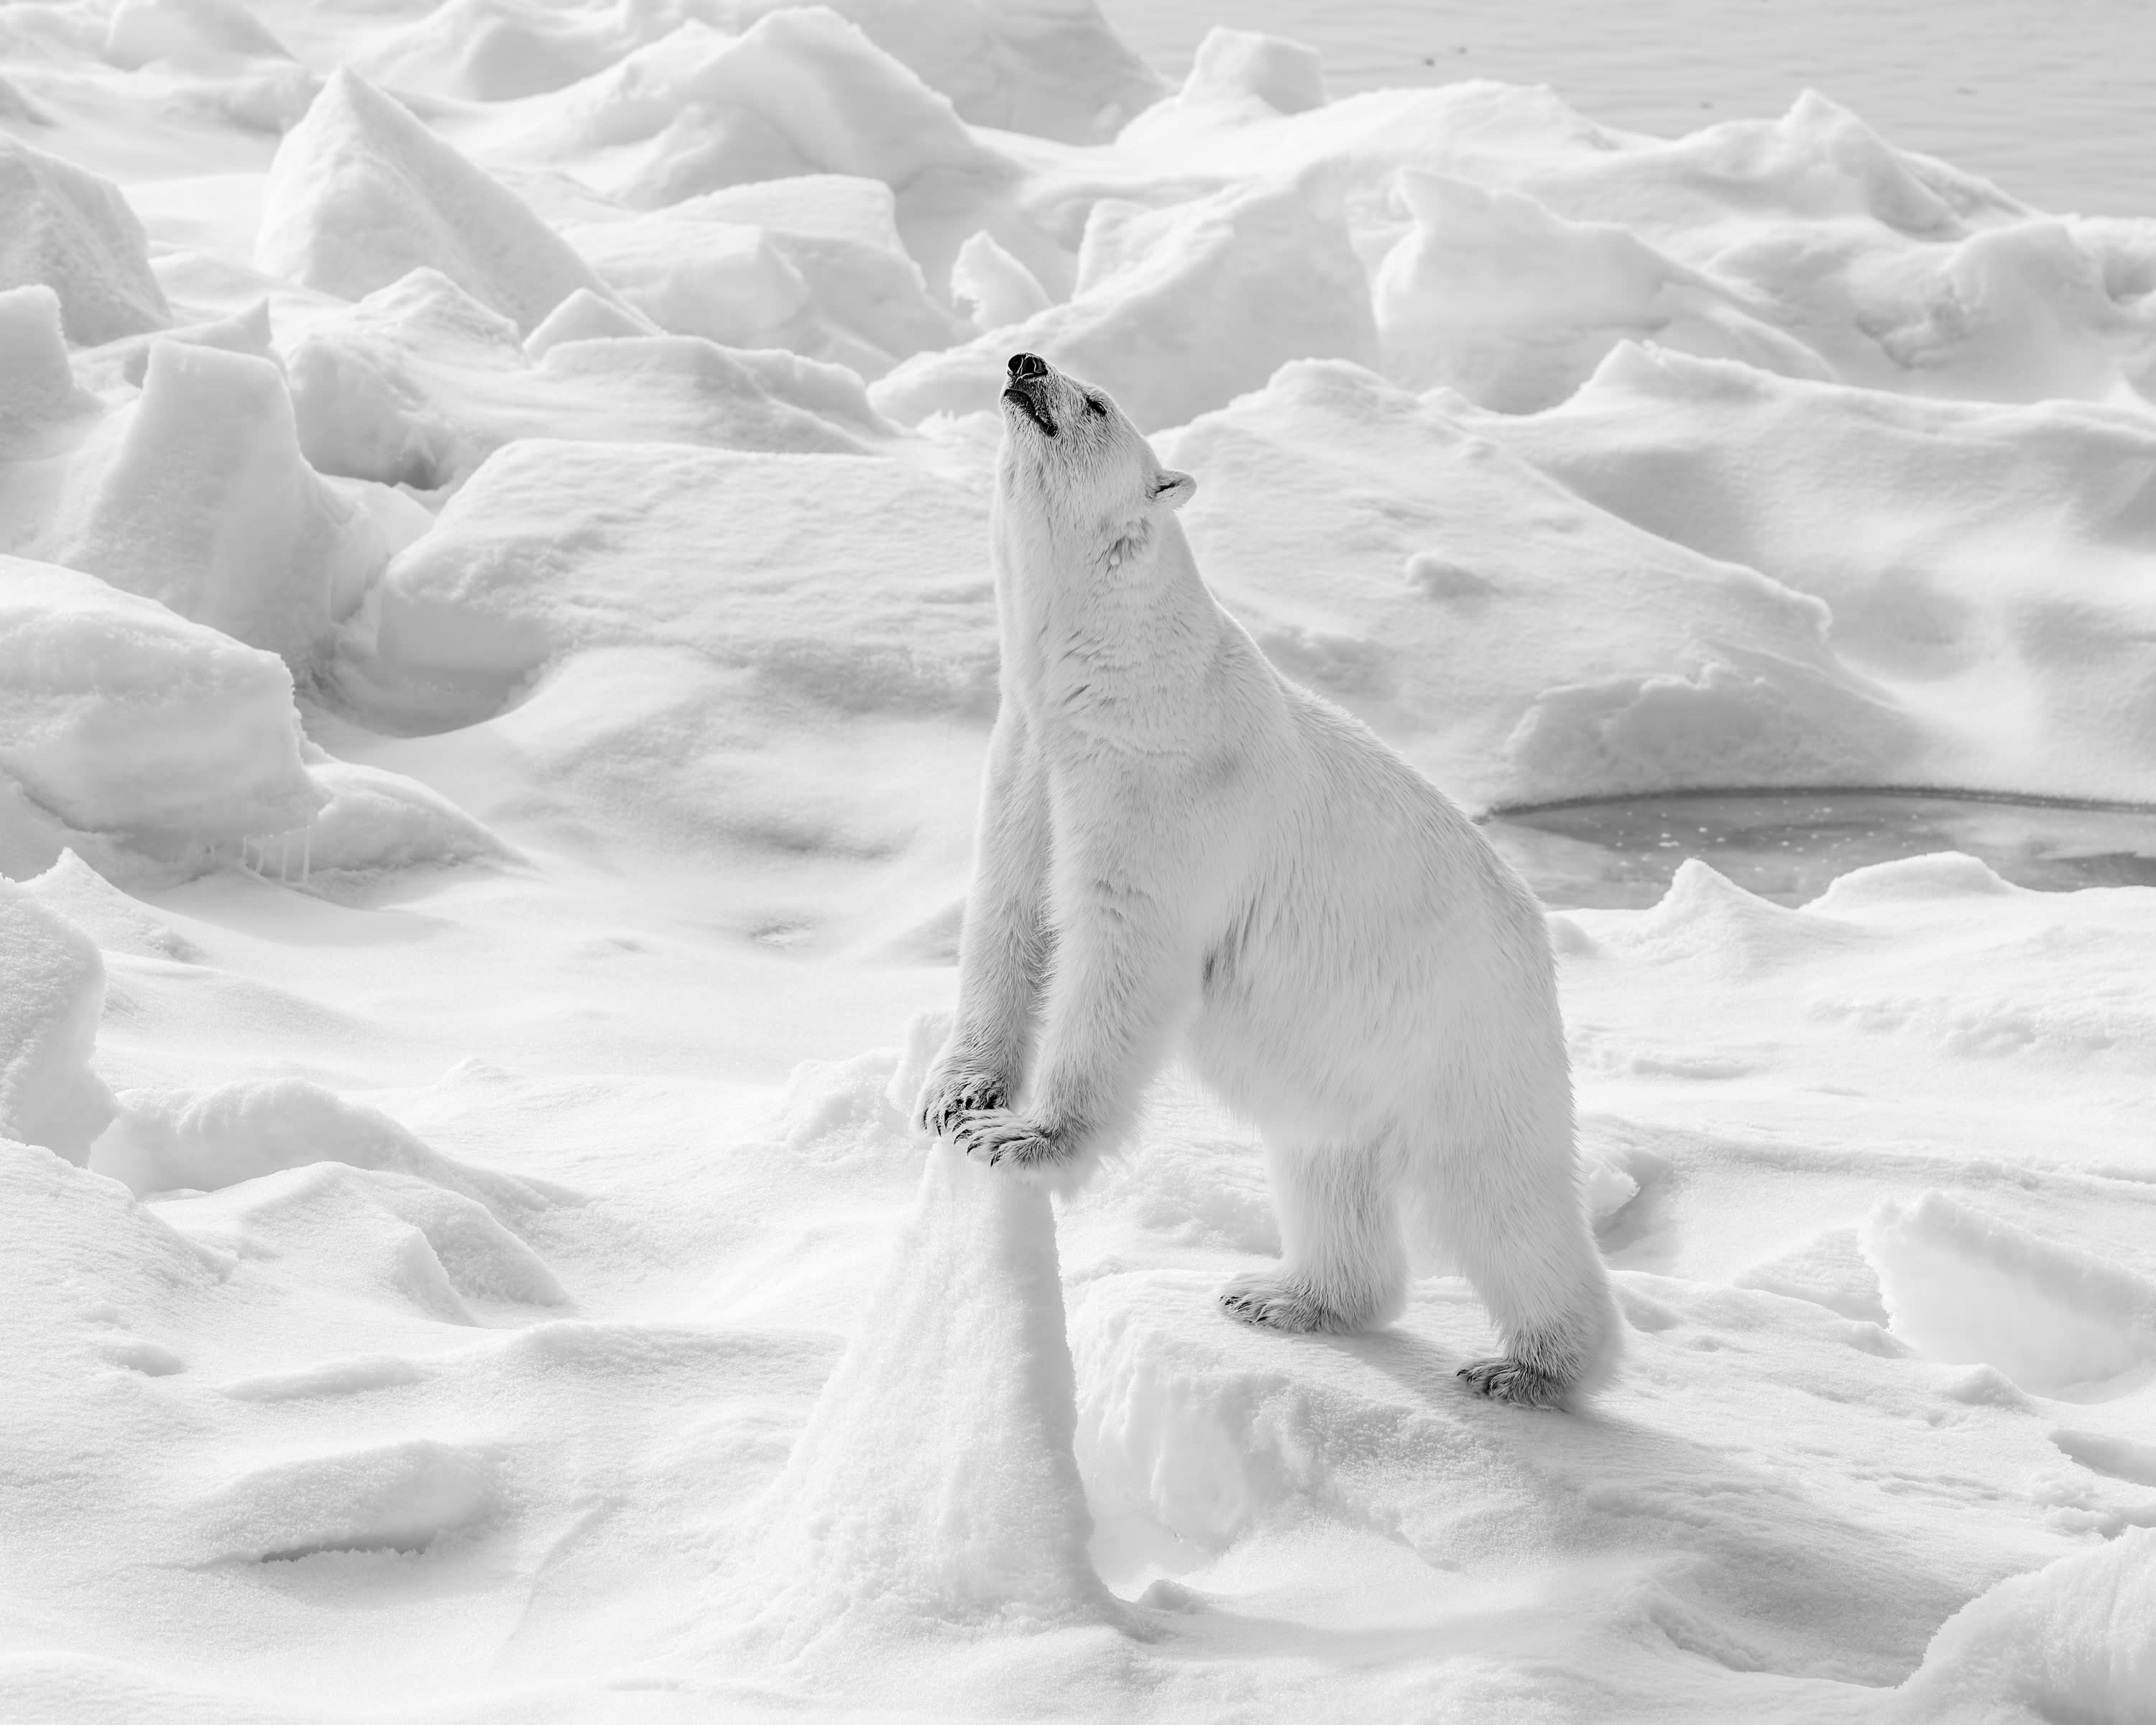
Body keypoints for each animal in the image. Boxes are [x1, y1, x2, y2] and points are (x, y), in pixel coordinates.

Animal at [916, 352, 1618, 1408]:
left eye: (1096, 403)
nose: (1024, 362)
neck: (1114, 670)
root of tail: (1537, 932)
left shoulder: (1162, 780)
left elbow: (1122, 949)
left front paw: (1023, 1139)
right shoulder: (1030, 760)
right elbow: (1007, 916)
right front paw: (954, 1097)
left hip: (1463, 1023)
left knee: (1497, 1186)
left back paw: (1529, 1365)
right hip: (1348, 1052)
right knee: (1326, 1162)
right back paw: (1283, 1295)